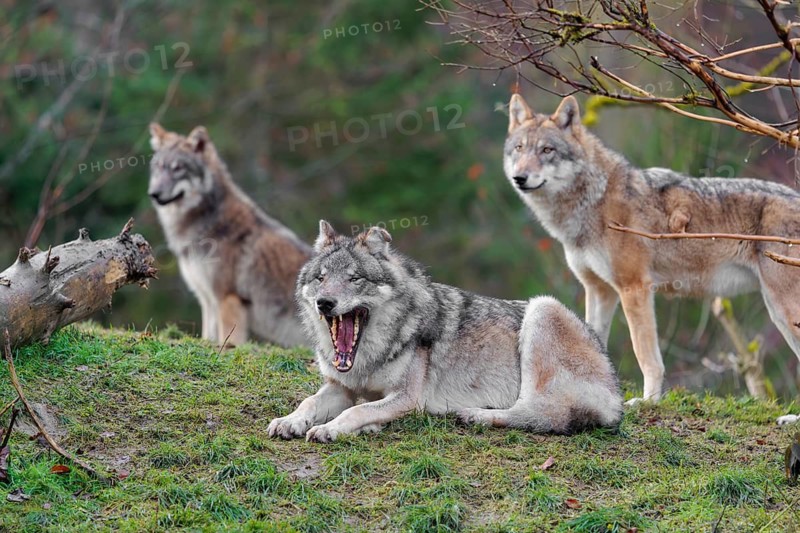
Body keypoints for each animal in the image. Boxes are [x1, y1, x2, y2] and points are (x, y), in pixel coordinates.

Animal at [149, 123, 310, 347]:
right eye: (159, 167)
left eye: (178, 168)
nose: (154, 193)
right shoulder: (208, 300)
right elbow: (208, 337)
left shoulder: (227, 299)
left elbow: (229, 341)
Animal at [267, 221, 622, 442]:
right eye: (322, 278)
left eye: (355, 279)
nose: (325, 303)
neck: (368, 358)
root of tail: (615, 389)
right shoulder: (340, 387)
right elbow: (309, 403)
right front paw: (289, 421)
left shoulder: (407, 398)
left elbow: (359, 410)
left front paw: (336, 429)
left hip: (542, 309)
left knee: (541, 415)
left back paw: (474, 415)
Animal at [503, 93, 800, 415]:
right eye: (519, 148)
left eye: (547, 150)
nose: (520, 177)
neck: (594, 201)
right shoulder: (599, 290)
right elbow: (590, 340)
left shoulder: (634, 288)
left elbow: (645, 355)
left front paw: (648, 401)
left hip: (783, 310)